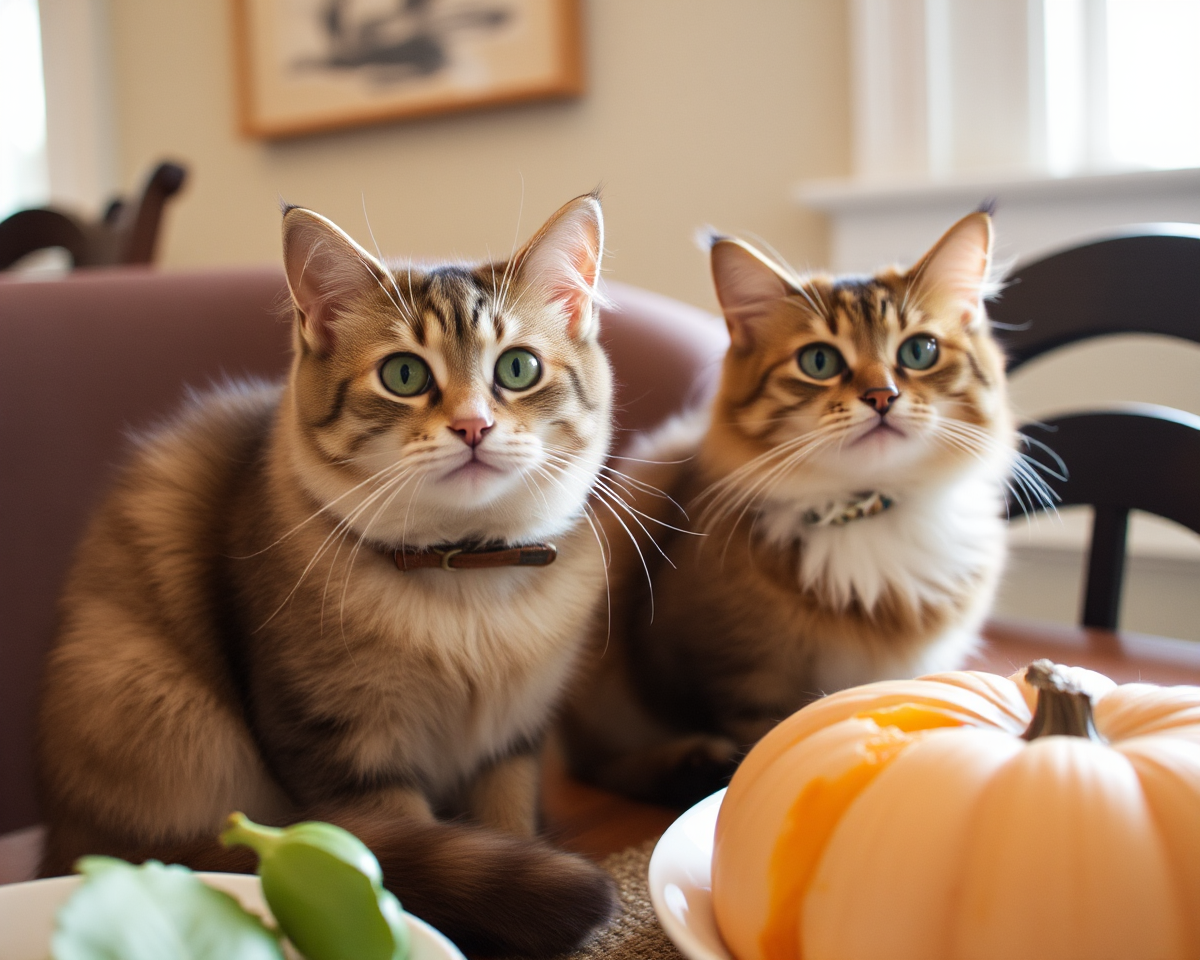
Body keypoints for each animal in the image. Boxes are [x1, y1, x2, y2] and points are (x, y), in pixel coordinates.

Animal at [37, 193, 619, 950]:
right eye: (404, 375)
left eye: (517, 369)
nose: (473, 427)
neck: (465, 579)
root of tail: (58, 840)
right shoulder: (347, 753)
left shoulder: (511, 747)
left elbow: (508, 826)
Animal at [561, 213, 1012, 806]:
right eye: (819, 361)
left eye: (920, 352)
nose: (882, 396)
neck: (865, 511)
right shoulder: (739, 677)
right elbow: (764, 741)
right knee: (601, 765)